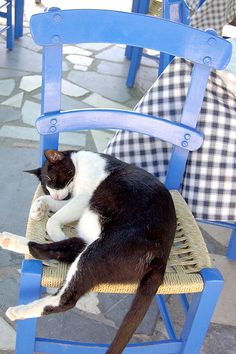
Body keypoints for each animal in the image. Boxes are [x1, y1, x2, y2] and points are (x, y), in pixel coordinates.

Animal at [0, 150, 177, 354]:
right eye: (46, 187)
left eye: (52, 180)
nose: (57, 195)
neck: (79, 164)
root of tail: (162, 258)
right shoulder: (70, 198)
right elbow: (52, 205)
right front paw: (39, 207)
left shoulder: (82, 198)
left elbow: (53, 219)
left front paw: (54, 229)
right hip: (91, 244)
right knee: (51, 250)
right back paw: (9, 240)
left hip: (100, 250)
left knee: (65, 298)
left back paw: (17, 311)